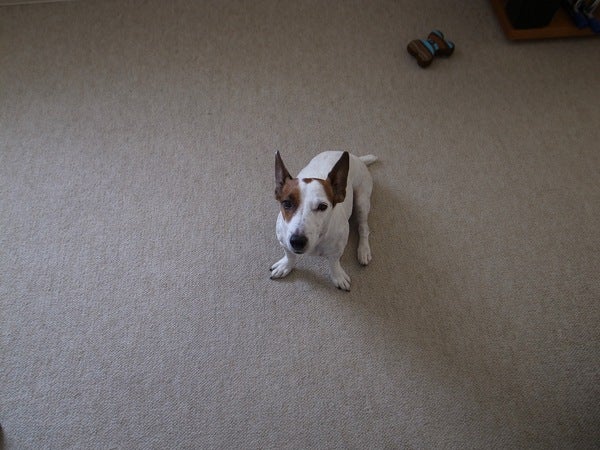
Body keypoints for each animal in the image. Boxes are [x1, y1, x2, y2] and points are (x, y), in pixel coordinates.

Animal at [270, 151, 377, 291]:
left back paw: (363, 250)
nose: (297, 241)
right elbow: (290, 255)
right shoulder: (284, 242)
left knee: (363, 228)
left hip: (361, 202)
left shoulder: (337, 250)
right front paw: (286, 266)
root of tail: (357, 158)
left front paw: (337, 276)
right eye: (287, 203)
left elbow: (334, 263)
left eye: (322, 206)